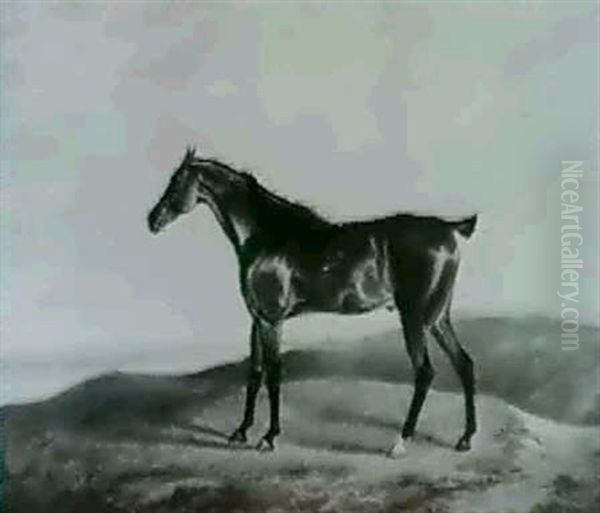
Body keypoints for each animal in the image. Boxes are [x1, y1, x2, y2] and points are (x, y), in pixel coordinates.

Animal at [146, 148, 478, 456]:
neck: (265, 234)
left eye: (177, 182)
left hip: (414, 318)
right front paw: (241, 431)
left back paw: (400, 442)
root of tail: (449, 229)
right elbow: (255, 373)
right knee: (463, 363)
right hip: (437, 318)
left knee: (424, 372)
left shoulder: (271, 320)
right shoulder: (257, 318)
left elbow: (274, 373)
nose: (153, 220)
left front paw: (269, 437)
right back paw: (465, 438)